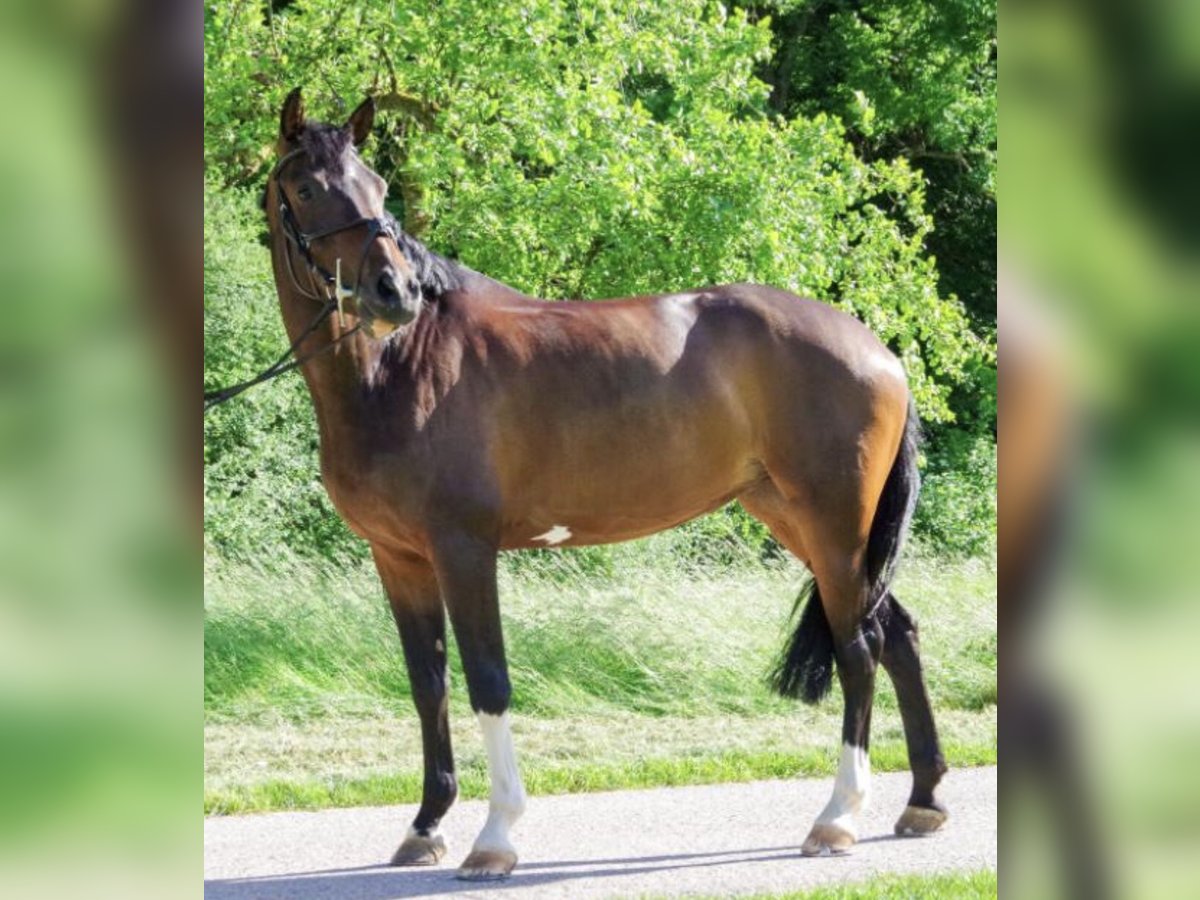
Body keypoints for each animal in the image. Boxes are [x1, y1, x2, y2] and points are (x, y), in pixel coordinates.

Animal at [259, 88, 948, 880]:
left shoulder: (464, 550)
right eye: (310, 188)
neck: (400, 366)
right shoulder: (398, 558)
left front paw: (496, 836)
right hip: (806, 523)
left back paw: (836, 819)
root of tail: (880, 352)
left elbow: (488, 681)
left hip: (835, 528)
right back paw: (923, 800)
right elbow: (428, 685)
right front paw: (425, 826)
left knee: (859, 649)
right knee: (896, 634)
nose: (393, 292)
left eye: (375, 186)